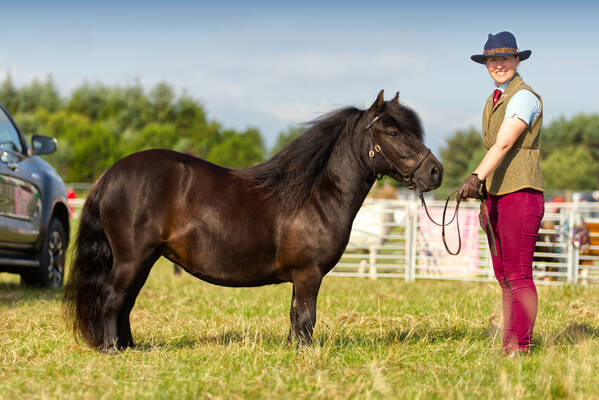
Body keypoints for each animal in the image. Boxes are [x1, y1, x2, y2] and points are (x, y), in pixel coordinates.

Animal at [64, 90, 440, 350]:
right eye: (392, 132)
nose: (435, 172)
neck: (317, 193)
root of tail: (110, 174)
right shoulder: (309, 275)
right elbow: (307, 317)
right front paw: (306, 354)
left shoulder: (301, 278)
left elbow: (296, 317)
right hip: (132, 259)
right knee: (112, 299)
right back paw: (113, 349)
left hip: (145, 259)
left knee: (125, 302)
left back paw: (130, 347)